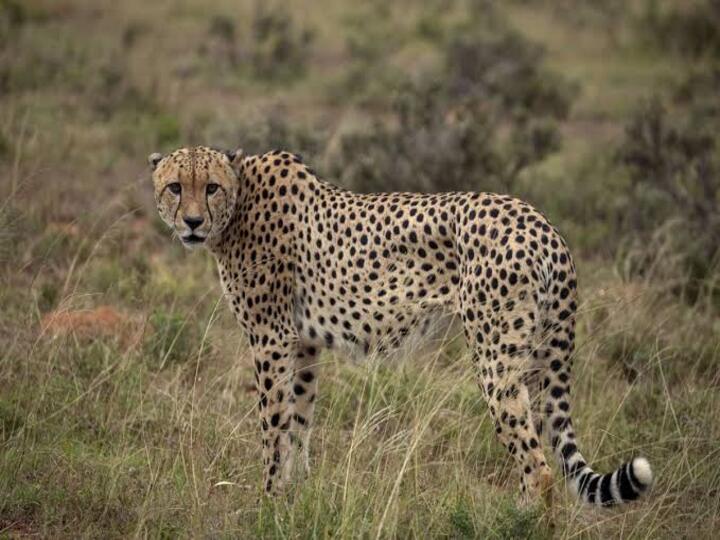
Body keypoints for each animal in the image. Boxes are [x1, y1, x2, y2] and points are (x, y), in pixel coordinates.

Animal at [150, 144, 652, 506]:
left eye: (210, 187)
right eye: (175, 187)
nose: (192, 222)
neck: (239, 202)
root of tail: (541, 222)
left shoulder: (270, 341)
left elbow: (273, 426)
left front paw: (268, 500)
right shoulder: (304, 344)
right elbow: (299, 423)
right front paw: (297, 495)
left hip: (496, 360)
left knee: (539, 468)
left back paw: (520, 522)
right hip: (539, 360)